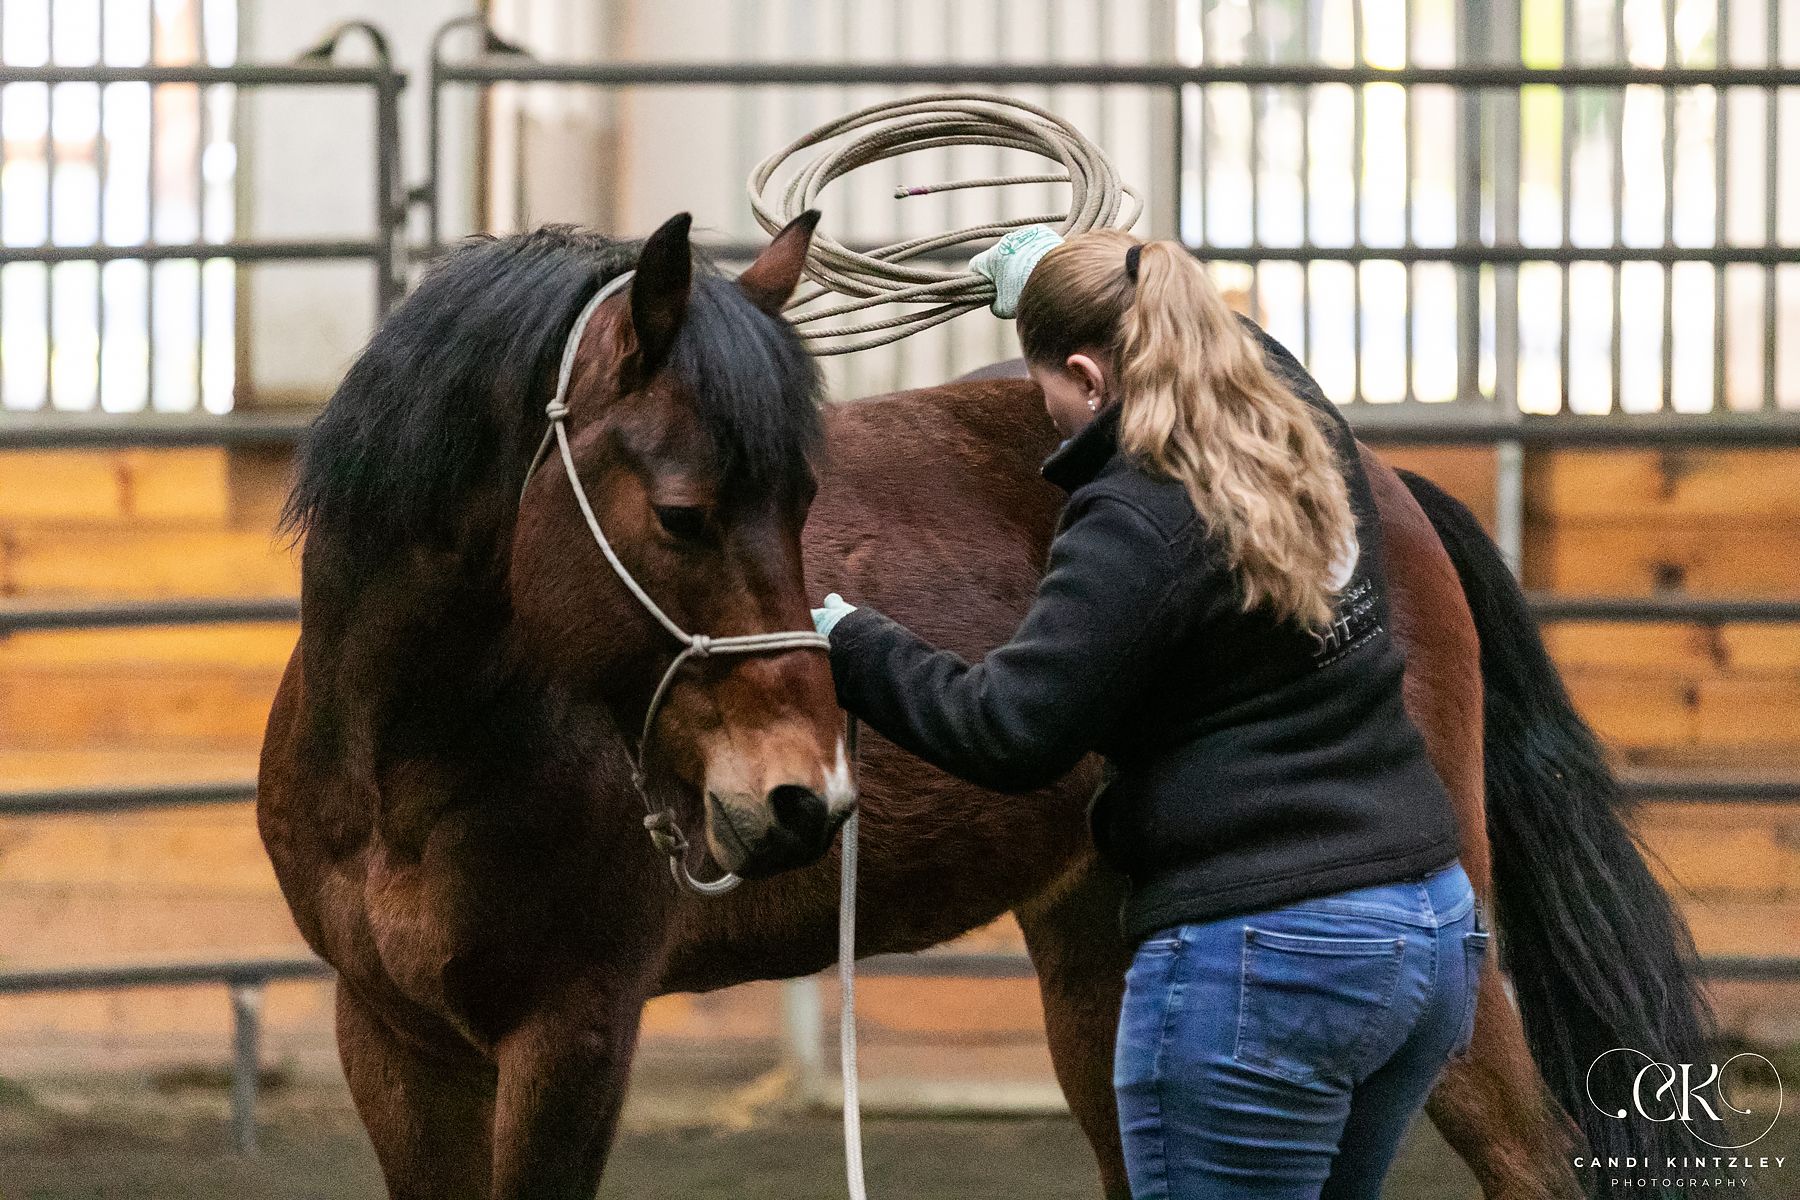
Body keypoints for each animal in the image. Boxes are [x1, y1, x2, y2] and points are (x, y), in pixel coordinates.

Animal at [262, 211, 1713, 1194]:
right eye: (681, 514)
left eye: (804, 499)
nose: (799, 799)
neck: (412, 760)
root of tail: (1382, 481)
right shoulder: (393, 1040)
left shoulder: (570, 1037)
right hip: (1103, 966)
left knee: (1534, 1156)